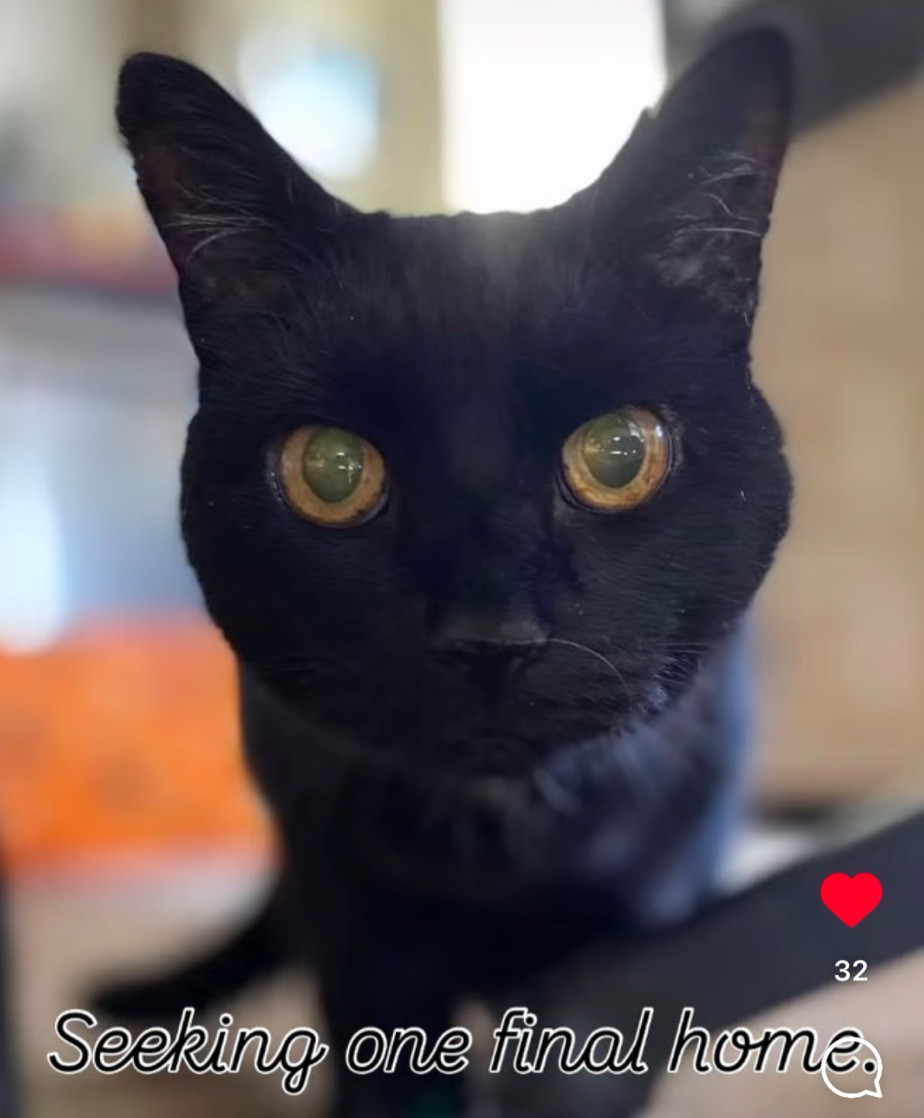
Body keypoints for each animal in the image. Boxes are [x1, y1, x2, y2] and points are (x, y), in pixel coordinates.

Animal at [106, 28, 783, 1118]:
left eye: (620, 455)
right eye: (331, 471)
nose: (488, 633)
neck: (493, 847)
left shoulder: (649, 902)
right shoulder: (350, 913)